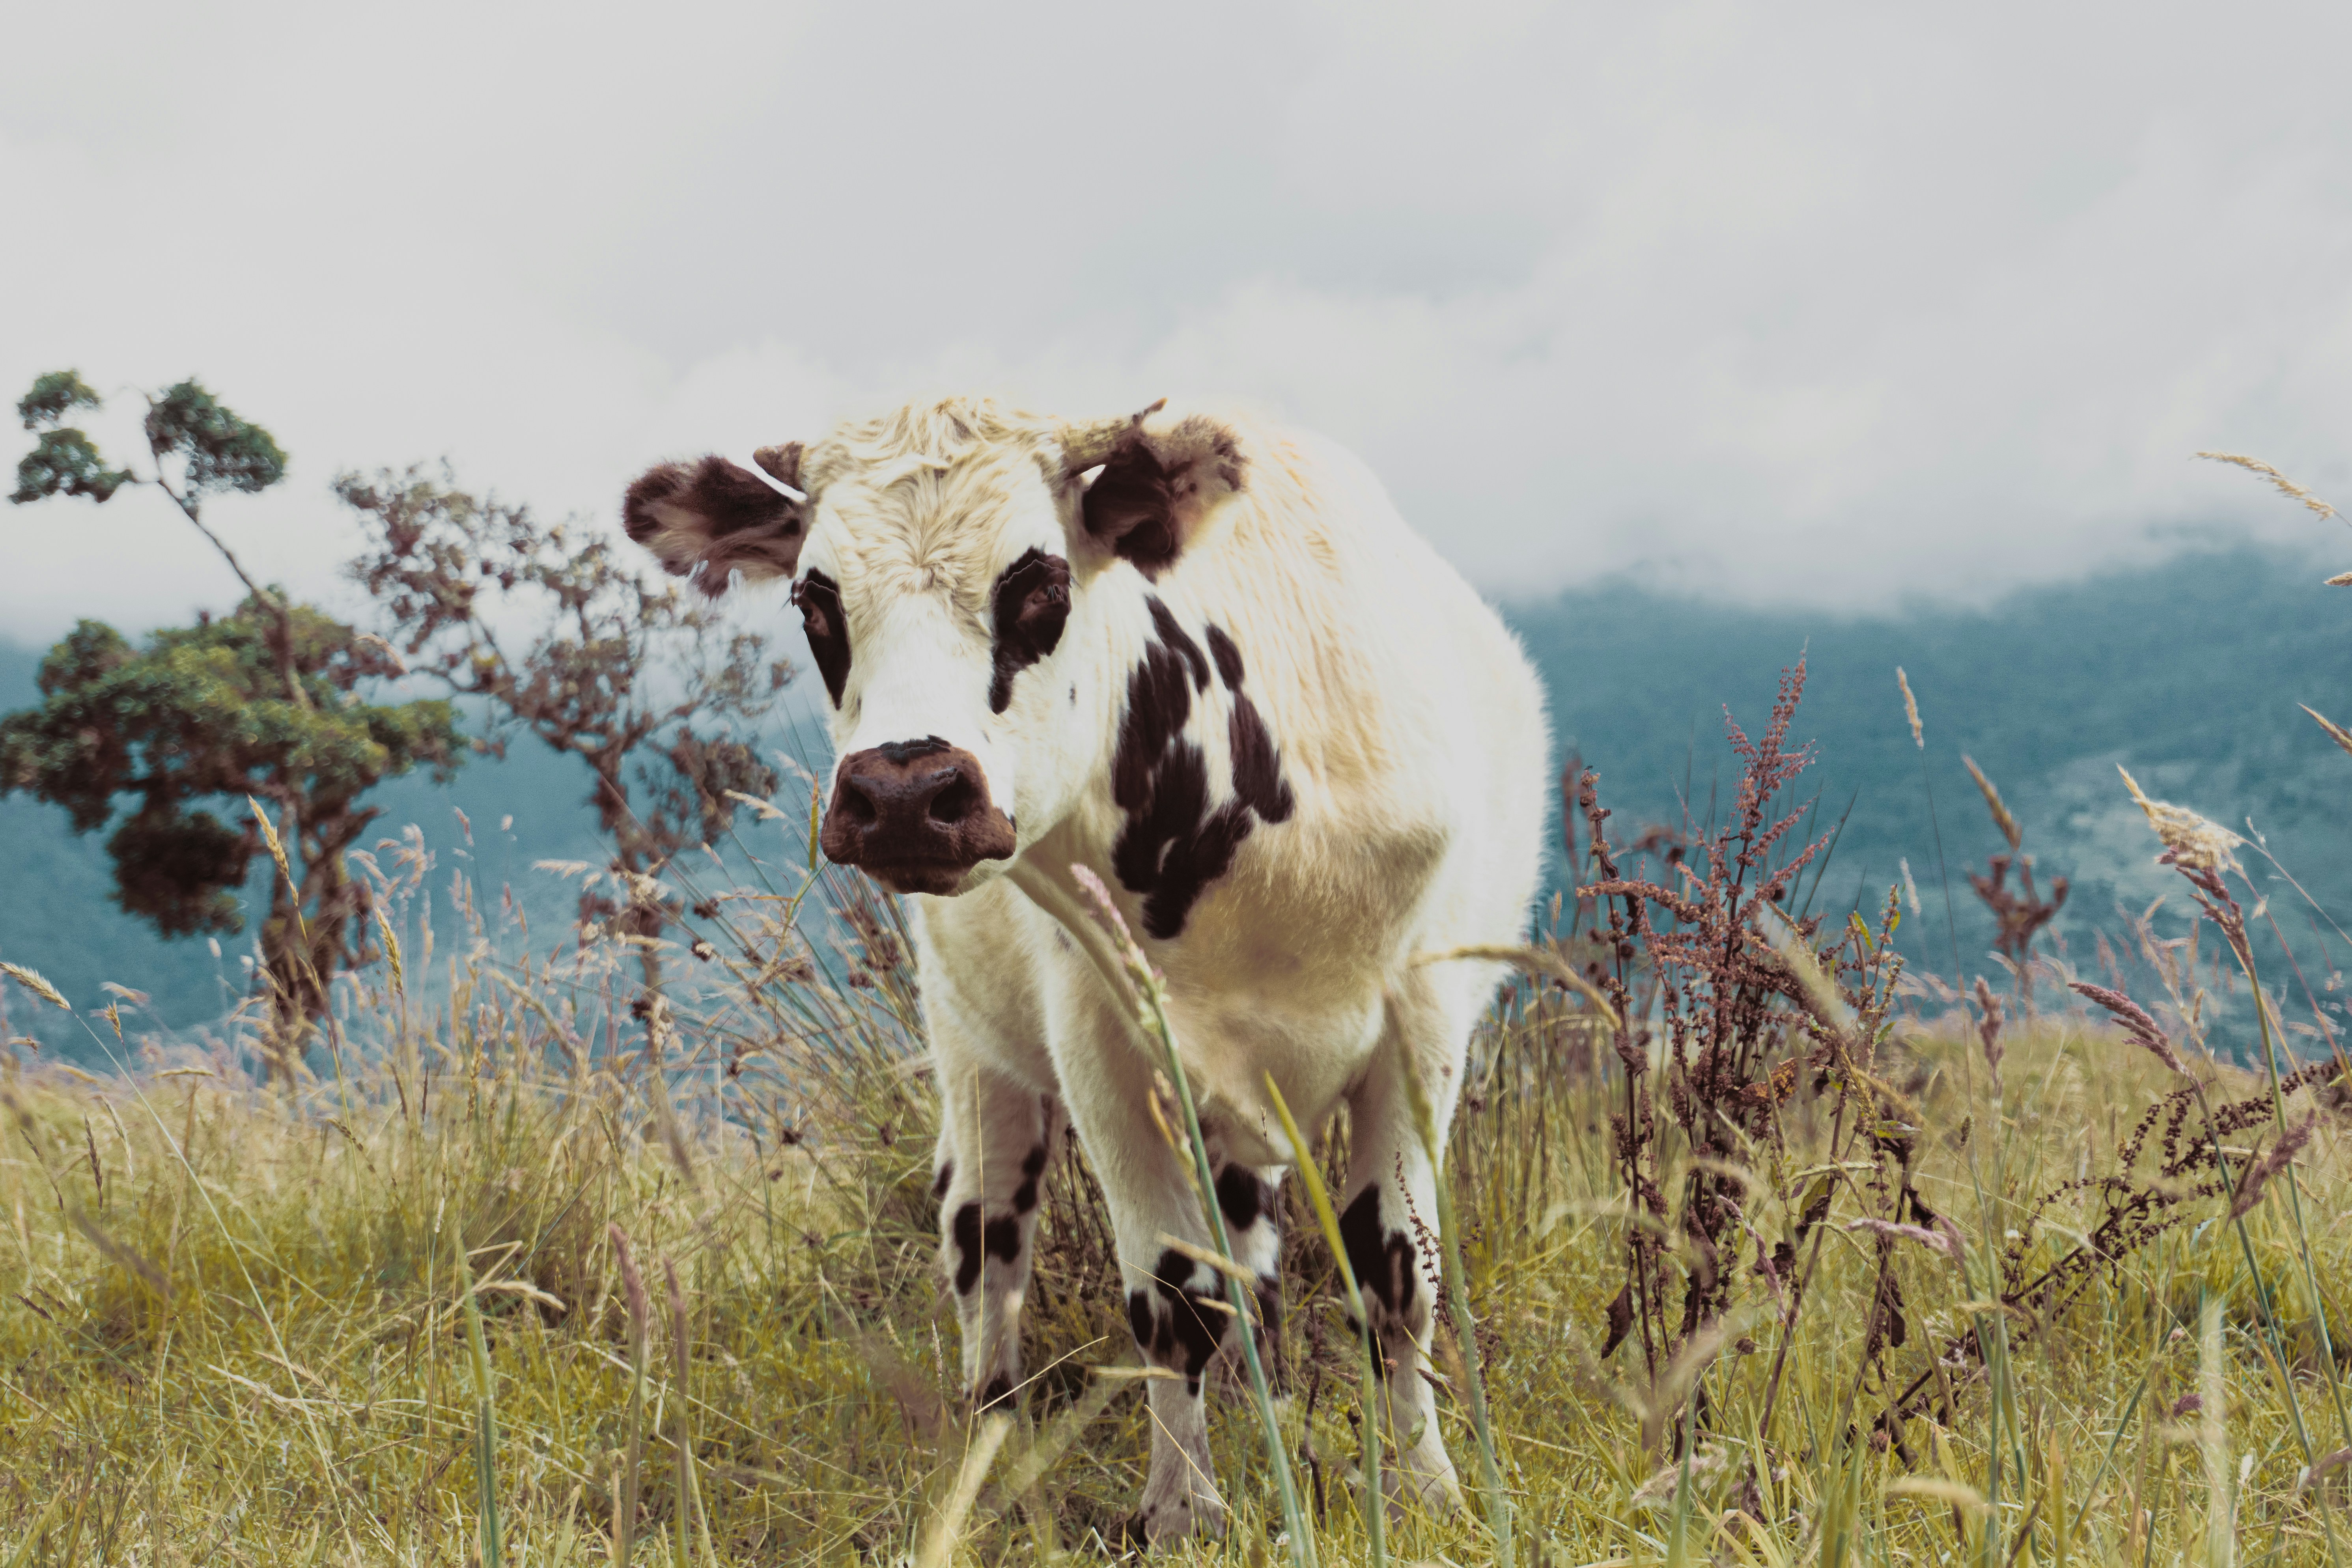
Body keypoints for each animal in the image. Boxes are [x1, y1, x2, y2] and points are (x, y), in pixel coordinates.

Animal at [621, 396, 1548, 1544]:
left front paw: (1424, 1489)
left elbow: (1396, 1272)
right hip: (974, 1041)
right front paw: (1185, 1508)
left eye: (1040, 587)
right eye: (813, 601)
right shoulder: (1106, 1041)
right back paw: (990, 1433)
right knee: (982, 1228)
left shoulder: (1421, 1026)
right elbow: (1171, 1293)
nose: (903, 794)